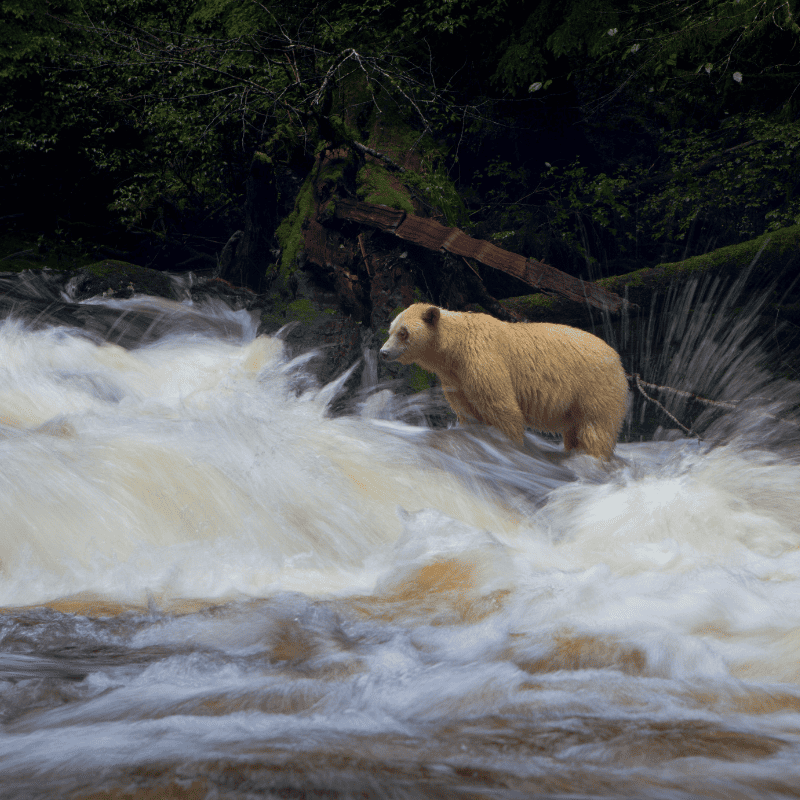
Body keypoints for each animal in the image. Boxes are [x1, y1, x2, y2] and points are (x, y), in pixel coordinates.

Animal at [379, 303, 628, 461]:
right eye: (390, 330)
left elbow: (501, 408)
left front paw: (510, 447)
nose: (383, 352)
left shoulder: (482, 360)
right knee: (575, 431)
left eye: (403, 332)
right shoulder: (455, 380)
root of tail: (617, 357)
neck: (454, 350)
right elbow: (468, 412)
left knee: (596, 429)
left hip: (594, 387)